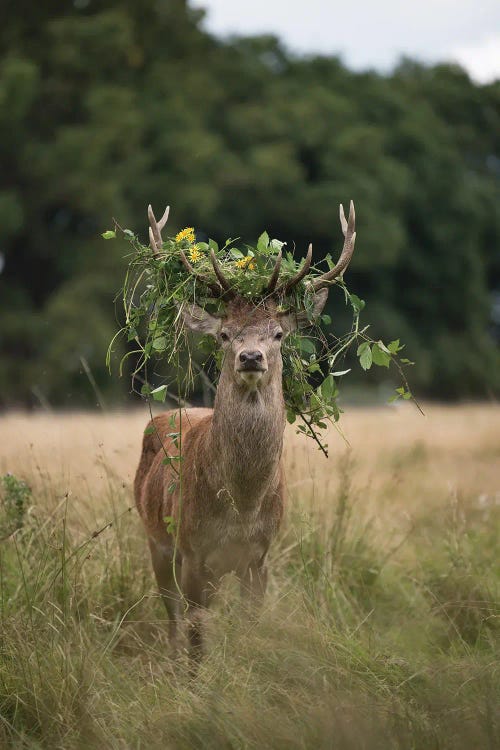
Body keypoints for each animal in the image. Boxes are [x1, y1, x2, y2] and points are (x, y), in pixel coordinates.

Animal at [134, 203, 356, 660]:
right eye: (224, 334)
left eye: (279, 333)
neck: (241, 506)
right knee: (171, 616)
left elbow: (250, 626)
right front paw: (195, 675)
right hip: (155, 539)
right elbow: (197, 638)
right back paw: (169, 656)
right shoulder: (193, 549)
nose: (251, 357)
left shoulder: (259, 556)